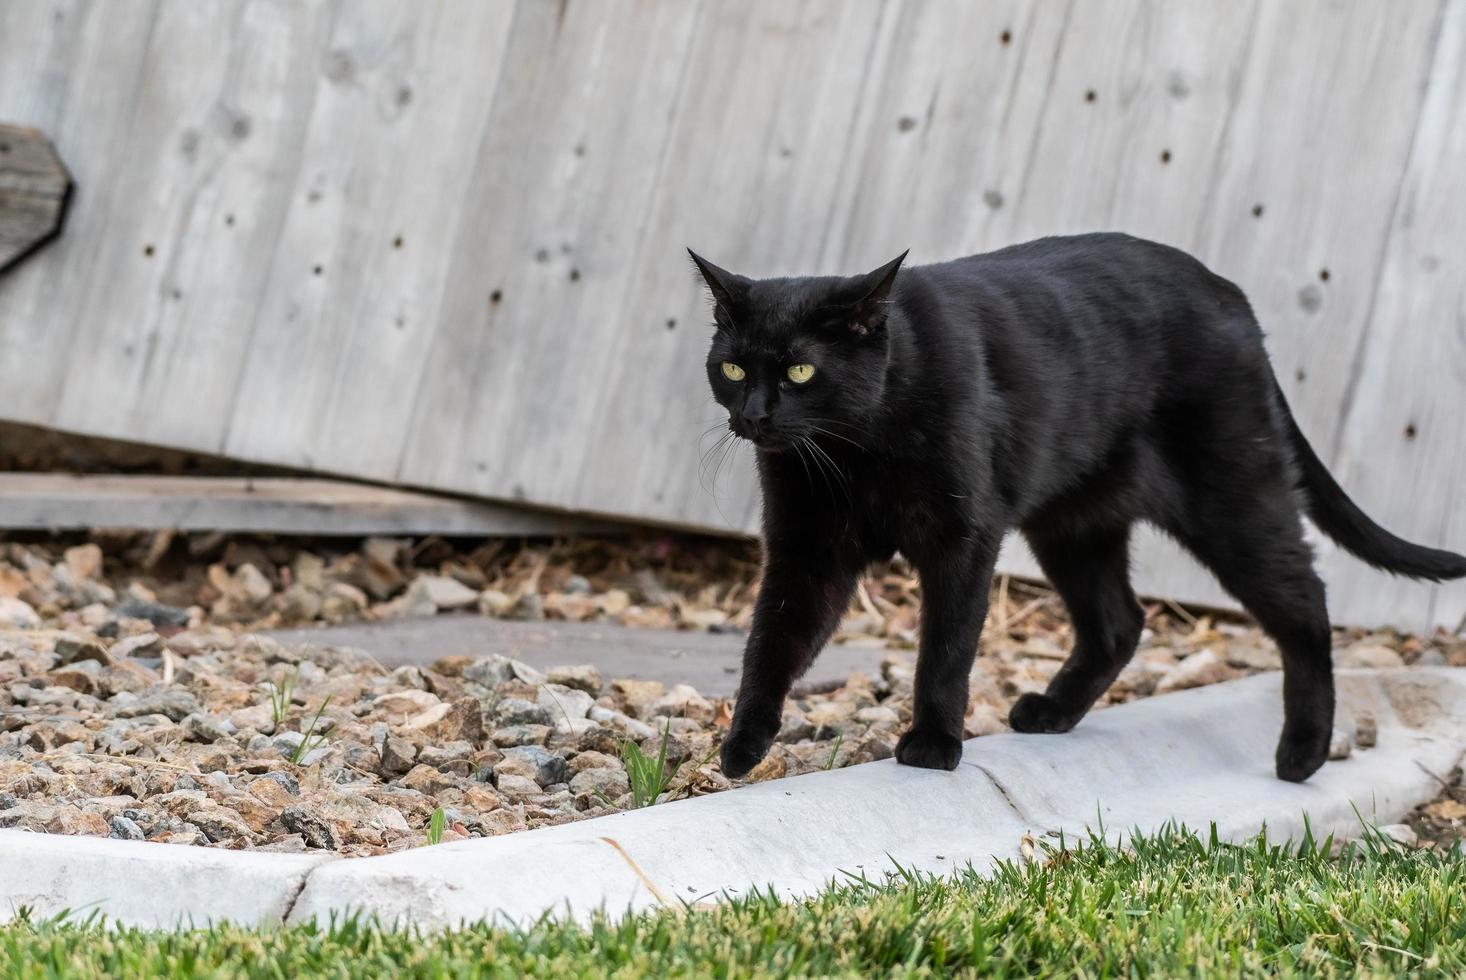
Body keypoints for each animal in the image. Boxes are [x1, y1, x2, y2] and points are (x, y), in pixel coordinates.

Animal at [694, 233, 1466, 786]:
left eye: (801, 371)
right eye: (732, 368)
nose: (754, 416)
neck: (853, 451)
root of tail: (1231, 296)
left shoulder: (964, 540)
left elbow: (946, 647)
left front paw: (934, 745)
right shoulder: (806, 550)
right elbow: (772, 641)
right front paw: (742, 747)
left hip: (1233, 497)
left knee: (1304, 600)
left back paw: (1303, 753)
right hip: (1073, 524)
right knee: (1121, 622)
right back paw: (1052, 712)